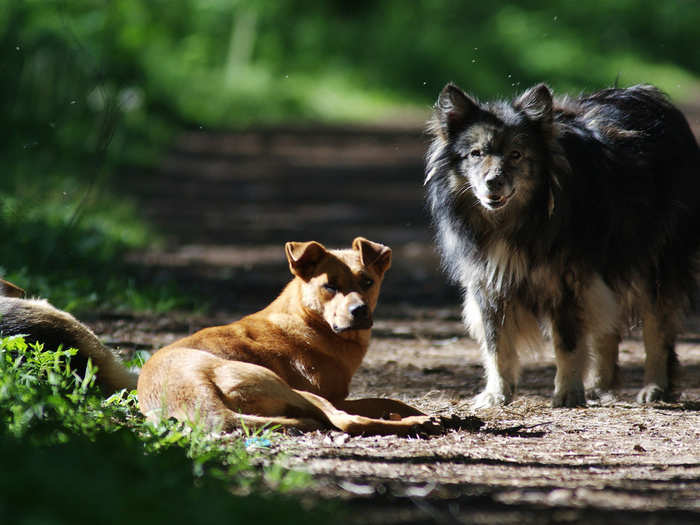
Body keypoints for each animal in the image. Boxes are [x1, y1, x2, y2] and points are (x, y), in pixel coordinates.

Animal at [0, 237, 438, 434]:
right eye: (329, 286)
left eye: (367, 281)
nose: (359, 312)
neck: (307, 320)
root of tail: (198, 401)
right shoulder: (332, 393)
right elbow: (380, 399)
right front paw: (413, 412)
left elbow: (386, 397)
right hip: (287, 387)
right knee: (346, 422)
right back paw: (417, 422)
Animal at [426, 83, 700, 410]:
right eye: (476, 154)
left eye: (516, 154)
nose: (493, 182)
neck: (515, 221)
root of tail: (656, 98)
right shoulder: (489, 284)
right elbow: (497, 346)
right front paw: (496, 394)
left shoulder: (567, 283)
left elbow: (568, 343)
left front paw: (568, 393)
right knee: (608, 328)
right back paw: (599, 385)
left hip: (655, 264)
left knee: (657, 329)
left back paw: (655, 387)